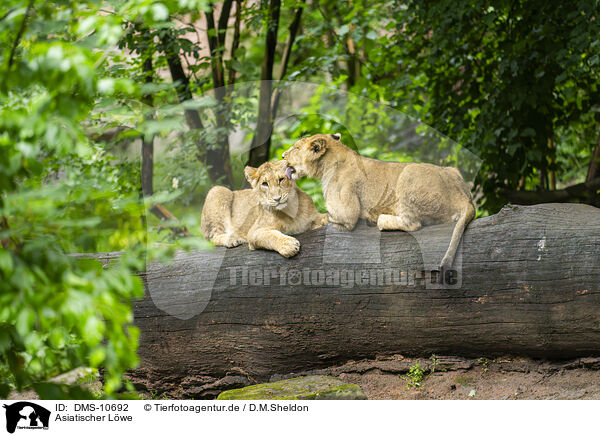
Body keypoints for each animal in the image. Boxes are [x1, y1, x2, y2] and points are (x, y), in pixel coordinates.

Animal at [200, 160, 328, 258]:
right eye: (265, 184)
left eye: (281, 179)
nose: (277, 199)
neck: (292, 211)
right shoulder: (254, 232)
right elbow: (271, 236)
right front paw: (289, 245)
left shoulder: (315, 216)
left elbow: (324, 217)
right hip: (217, 190)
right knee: (212, 238)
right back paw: (232, 238)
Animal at [284, 133, 476, 270]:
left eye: (296, 148)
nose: (283, 155)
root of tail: (463, 197)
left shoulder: (347, 214)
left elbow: (328, 217)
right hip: (453, 170)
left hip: (408, 173)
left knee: (412, 224)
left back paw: (381, 219)